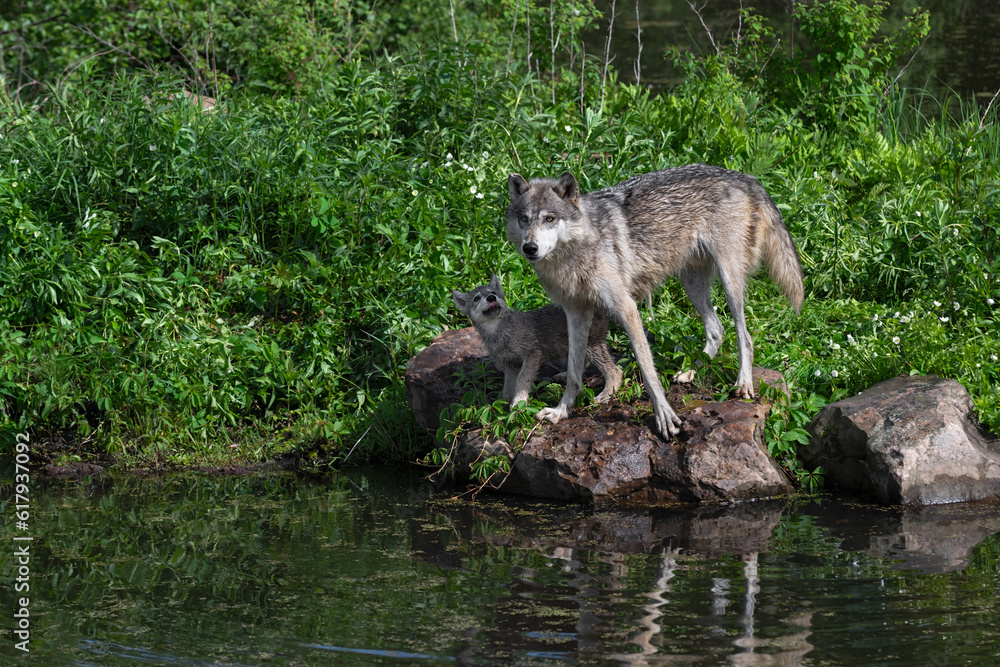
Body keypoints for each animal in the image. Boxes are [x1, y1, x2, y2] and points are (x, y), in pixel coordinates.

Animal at [451, 273, 624, 407]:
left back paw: (605, 395)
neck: (500, 333)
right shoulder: (510, 364)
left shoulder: (533, 355)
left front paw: (518, 402)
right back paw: (566, 375)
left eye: (493, 292)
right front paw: (506, 401)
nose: (491, 297)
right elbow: (508, 388)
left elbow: (522, 379)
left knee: (615, 371)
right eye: (476, 298)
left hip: (592, 347)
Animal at [505, 163, 804, 439]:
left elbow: (647, 370)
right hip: (691, 283)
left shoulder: (626, 308)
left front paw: (664, 416)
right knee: (716, 329)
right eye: (524, 219)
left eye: (550, 218)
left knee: (745, 335)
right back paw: (691, 371)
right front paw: (561, 411)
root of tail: (743, 176)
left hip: (729, 280)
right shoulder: (575, 312)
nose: (529, 248)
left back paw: (743, 383)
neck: (575, 252)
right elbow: (574, 372)